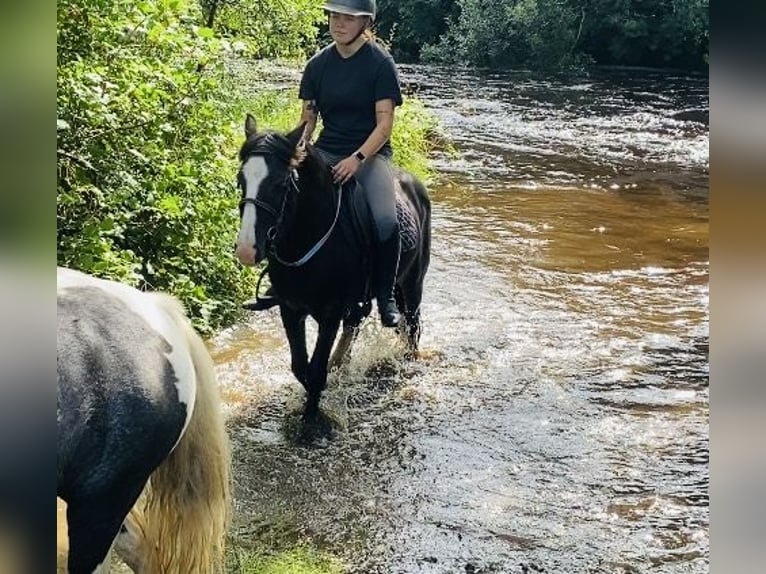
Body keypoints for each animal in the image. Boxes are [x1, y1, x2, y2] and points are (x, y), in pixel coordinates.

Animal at [236, 115, 432, 418]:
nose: (246, 250)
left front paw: (311, 420)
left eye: (280, 183)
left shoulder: (330, 312)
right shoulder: (290, 308)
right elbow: (300, 367)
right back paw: (341, 363)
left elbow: (316, 371)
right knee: (355, 325)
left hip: (412, 285)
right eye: (240, 180)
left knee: (411, 329)